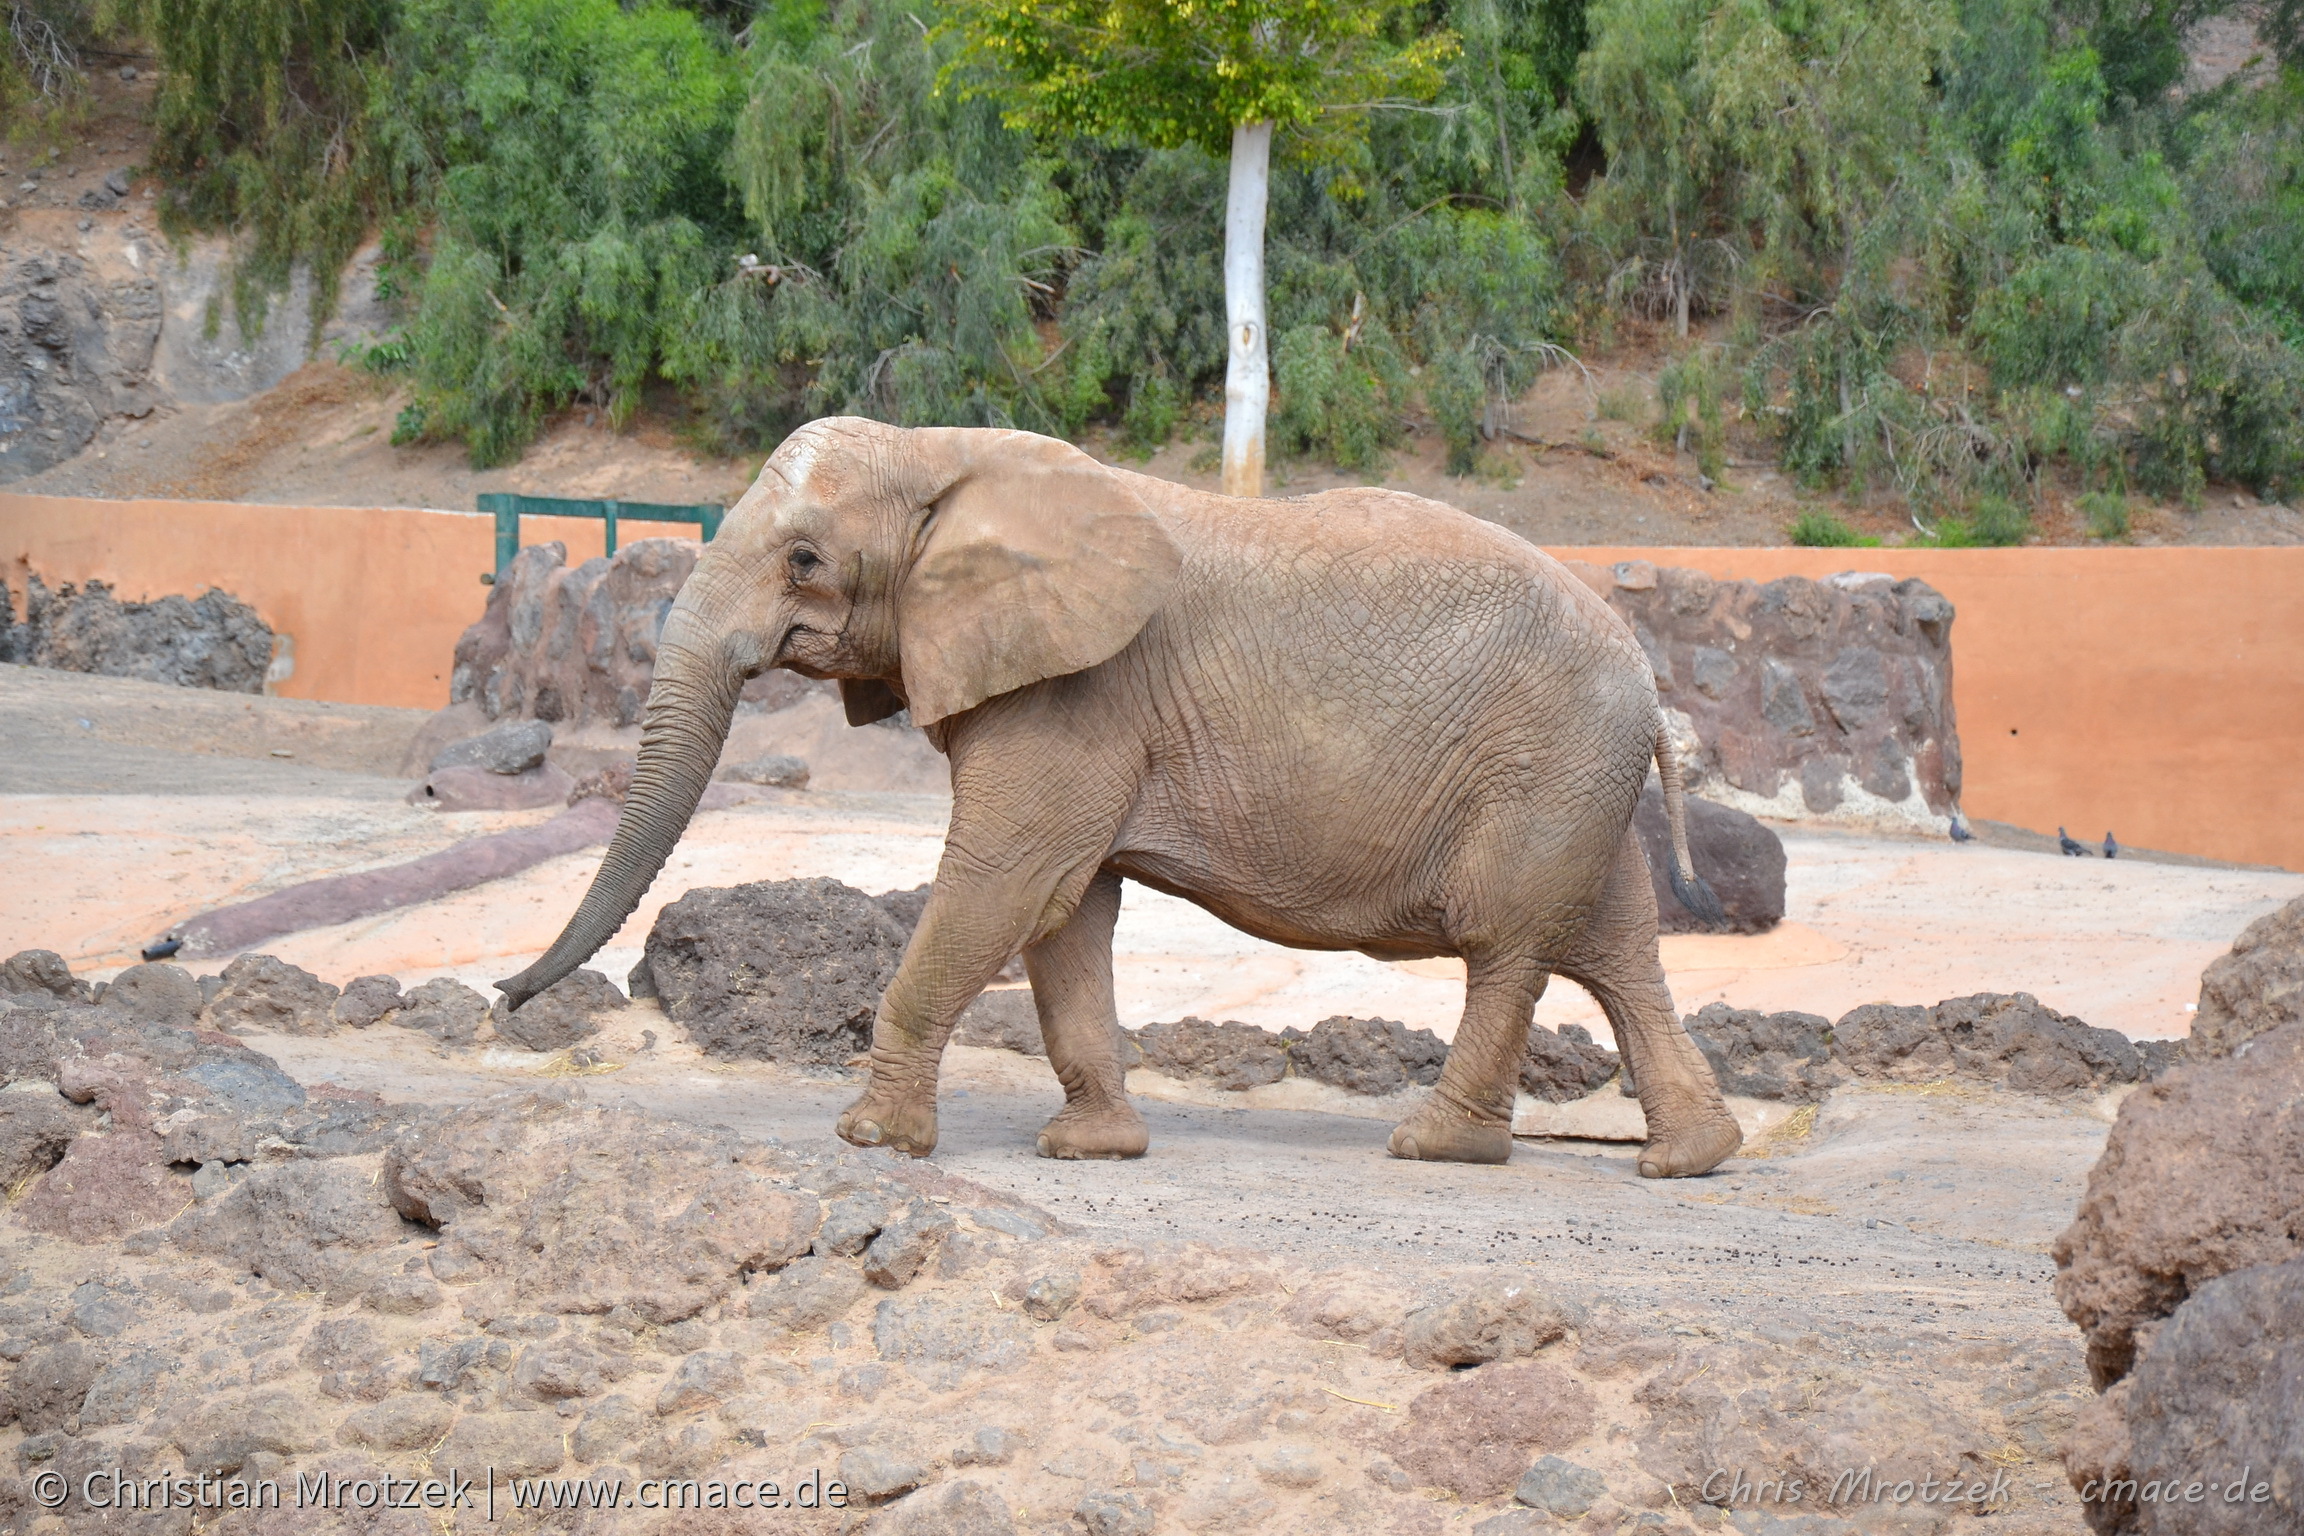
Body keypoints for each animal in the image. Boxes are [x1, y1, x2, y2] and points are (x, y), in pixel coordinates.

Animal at [495, 421, 1732, 1179]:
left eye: (804, 559)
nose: (504, 1001)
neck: (944, 453)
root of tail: (1650, 682)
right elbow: (1067, 913)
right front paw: (1089, 1150)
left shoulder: (1074, 695)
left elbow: (1005, 881)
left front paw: (871, 1141)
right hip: (1579, 779)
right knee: (1615, 946)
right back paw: (1693, 1156)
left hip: (1543, 767)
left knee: (1509, 943)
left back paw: (1434, 1147)